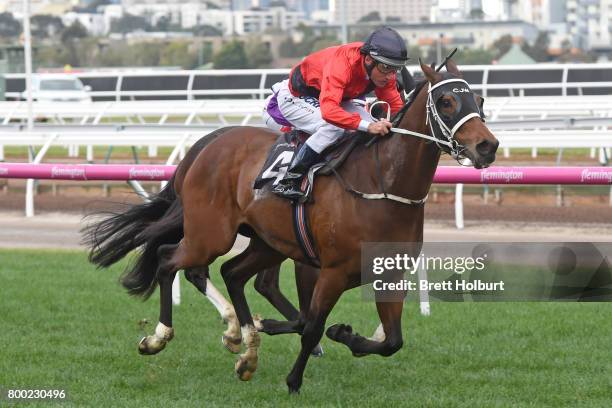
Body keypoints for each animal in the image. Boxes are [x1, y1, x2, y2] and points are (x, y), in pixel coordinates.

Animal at [87, 59, 498, 392]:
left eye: (478, 100)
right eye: (447, 102)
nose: (488, 147)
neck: (382, 184)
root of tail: (206, 147)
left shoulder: (388, 273)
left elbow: (392, 341)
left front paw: (343, 333)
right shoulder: (330, 271)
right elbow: (311, 324)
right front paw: (294, 379)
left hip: (265, 242)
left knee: (231, 272)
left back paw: (246, 344)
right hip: (211, 234)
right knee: (169, 259)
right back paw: (160, 337)